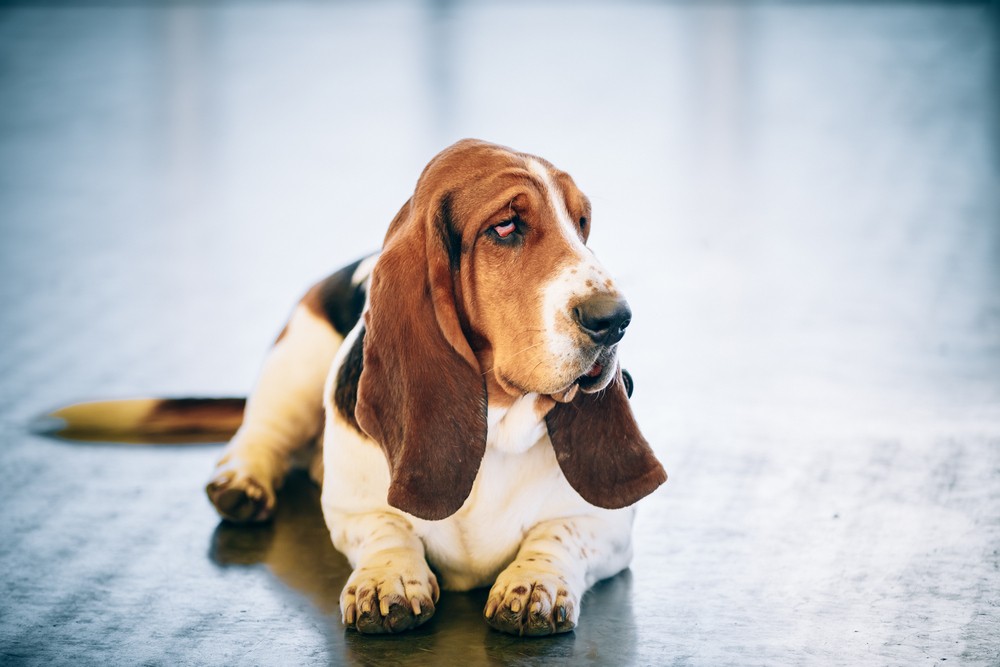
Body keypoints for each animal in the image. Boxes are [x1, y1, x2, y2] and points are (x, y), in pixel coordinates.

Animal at [52, 141, 672, 636]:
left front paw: (533, 586)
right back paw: (240, 483)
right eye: (505, 227)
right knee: (259, 435)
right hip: (295, 364)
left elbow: (558, 536)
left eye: (582, 224)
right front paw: (387, 580)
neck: (496, 425)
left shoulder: (607, 527)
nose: (616, 319)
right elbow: (385, 529)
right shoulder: (353, 510)